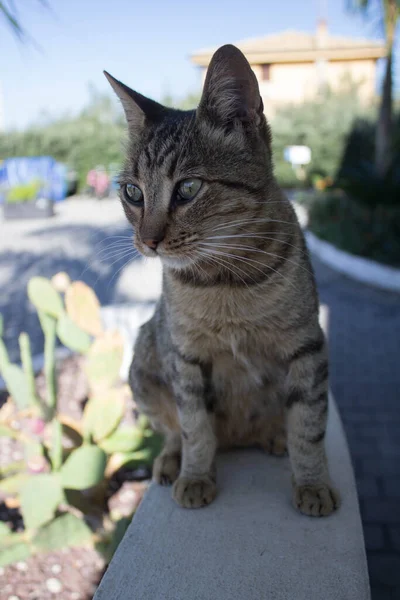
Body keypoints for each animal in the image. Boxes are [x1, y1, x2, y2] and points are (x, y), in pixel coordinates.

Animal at [104, 44, 340, 516]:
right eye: (132, 192)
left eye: (188, 188)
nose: (148, 240)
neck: (224, 282)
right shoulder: (186, 356)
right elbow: (195, 428)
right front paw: (195, 474)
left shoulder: (307, 346)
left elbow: (308, 426)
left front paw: (312, 483)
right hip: (143, 367)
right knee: (173, 430)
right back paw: (172, 461)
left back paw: (272, 436)